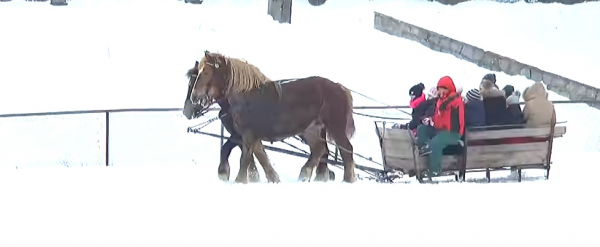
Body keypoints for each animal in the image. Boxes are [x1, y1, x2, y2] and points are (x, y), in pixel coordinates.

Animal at [190, 51, 356, 183]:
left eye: (206, 72)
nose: (194, 97)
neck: (247, 97)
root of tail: (341, 88)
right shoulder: (248, 135)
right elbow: (259, 156)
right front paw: (270, 178)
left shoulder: (248, 134)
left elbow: (245, 158)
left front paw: (238, 180)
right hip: (311, 129)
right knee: (319, 149)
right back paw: (305, 175)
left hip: (335, 128)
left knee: (346, 150)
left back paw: (347, 180)